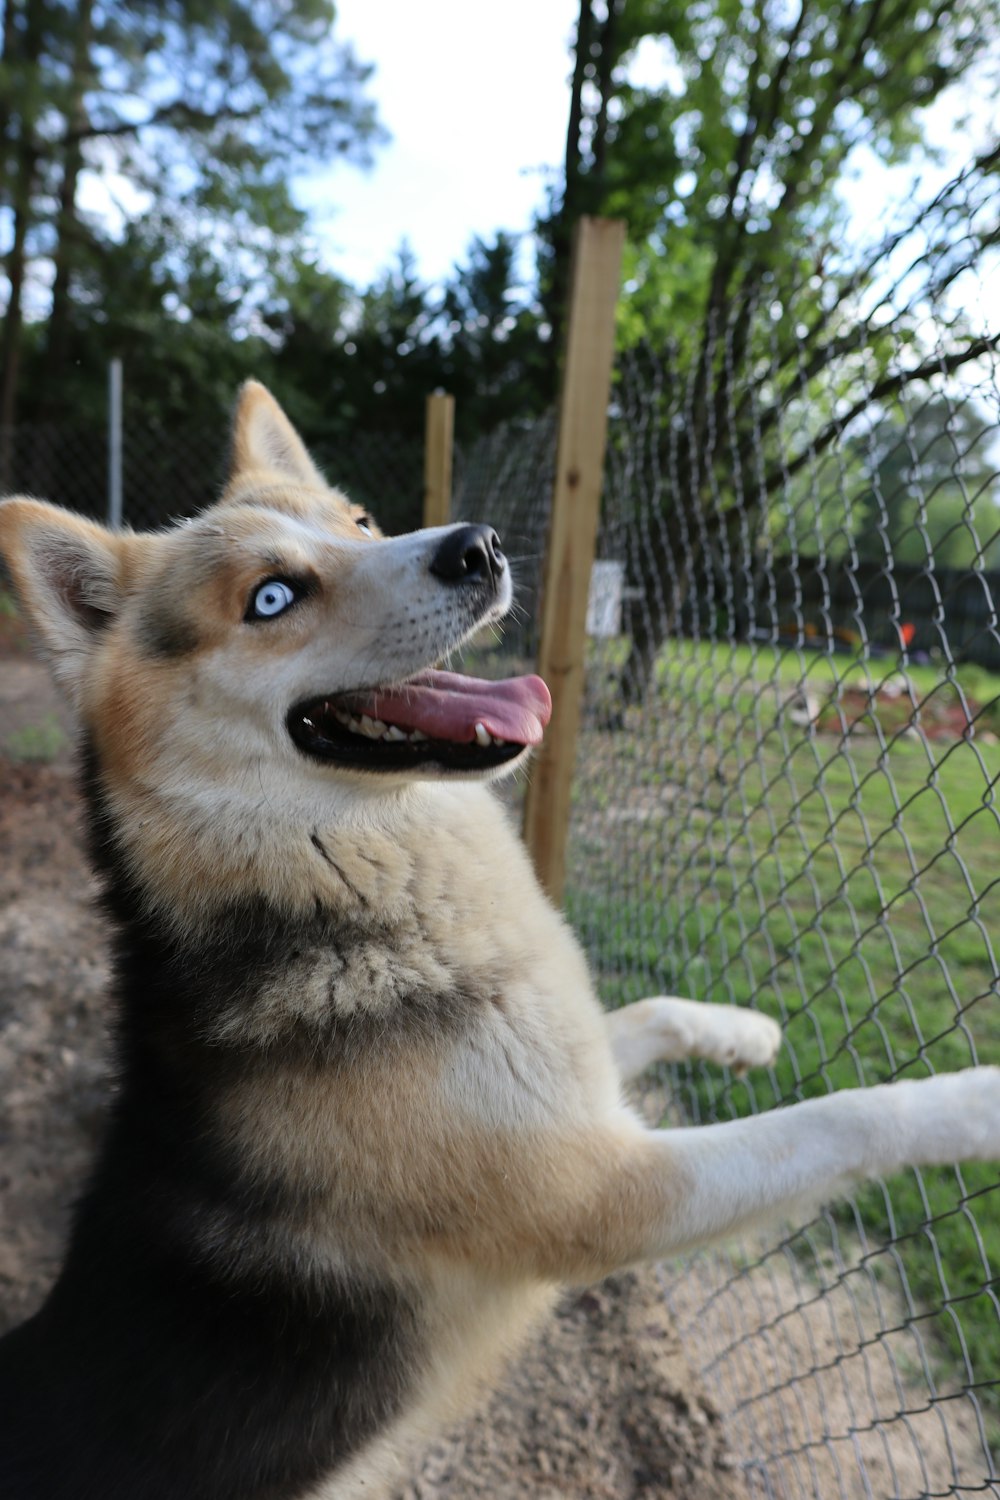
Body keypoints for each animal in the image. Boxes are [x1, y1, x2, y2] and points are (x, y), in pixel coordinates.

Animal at [0, 384, 995, 1500]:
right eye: (271, 598)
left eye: (359, 522)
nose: (474, 546)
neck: (344, 877)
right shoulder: (603, 1194)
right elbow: (842, 1119)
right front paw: (973, 1103)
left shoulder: (565, 1074)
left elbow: (644, 1011)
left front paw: (739, 1032)